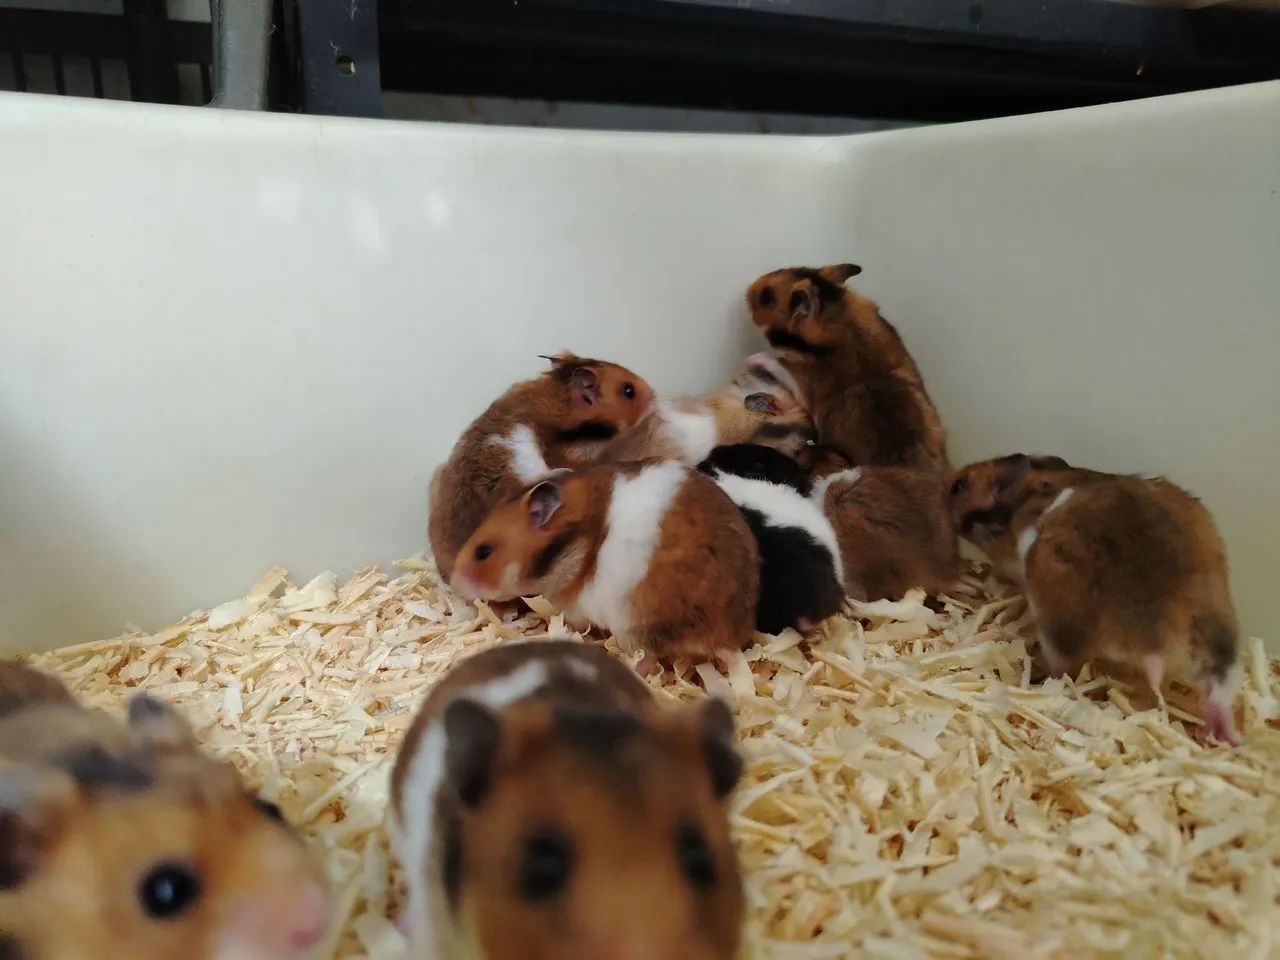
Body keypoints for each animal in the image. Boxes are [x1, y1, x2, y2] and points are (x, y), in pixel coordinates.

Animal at [449, 460, 760, 672]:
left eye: (483, 552)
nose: (453, 582)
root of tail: (726, 637)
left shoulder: (573, 608)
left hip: (634, 625)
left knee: (647, 659)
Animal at [744, 264, 949, 477]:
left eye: (766, 297)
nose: (746, 290)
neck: (839, 318)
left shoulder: (799, 378)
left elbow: (771, 359)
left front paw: (748, 359)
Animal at [954, 459, 1243, 745]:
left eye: (959, 485)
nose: (951, 481)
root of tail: (1165, 634)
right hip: (1218, 632)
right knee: (1219, 688)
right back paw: (1222, 737)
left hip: (1057, 630)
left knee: (1062, 671)